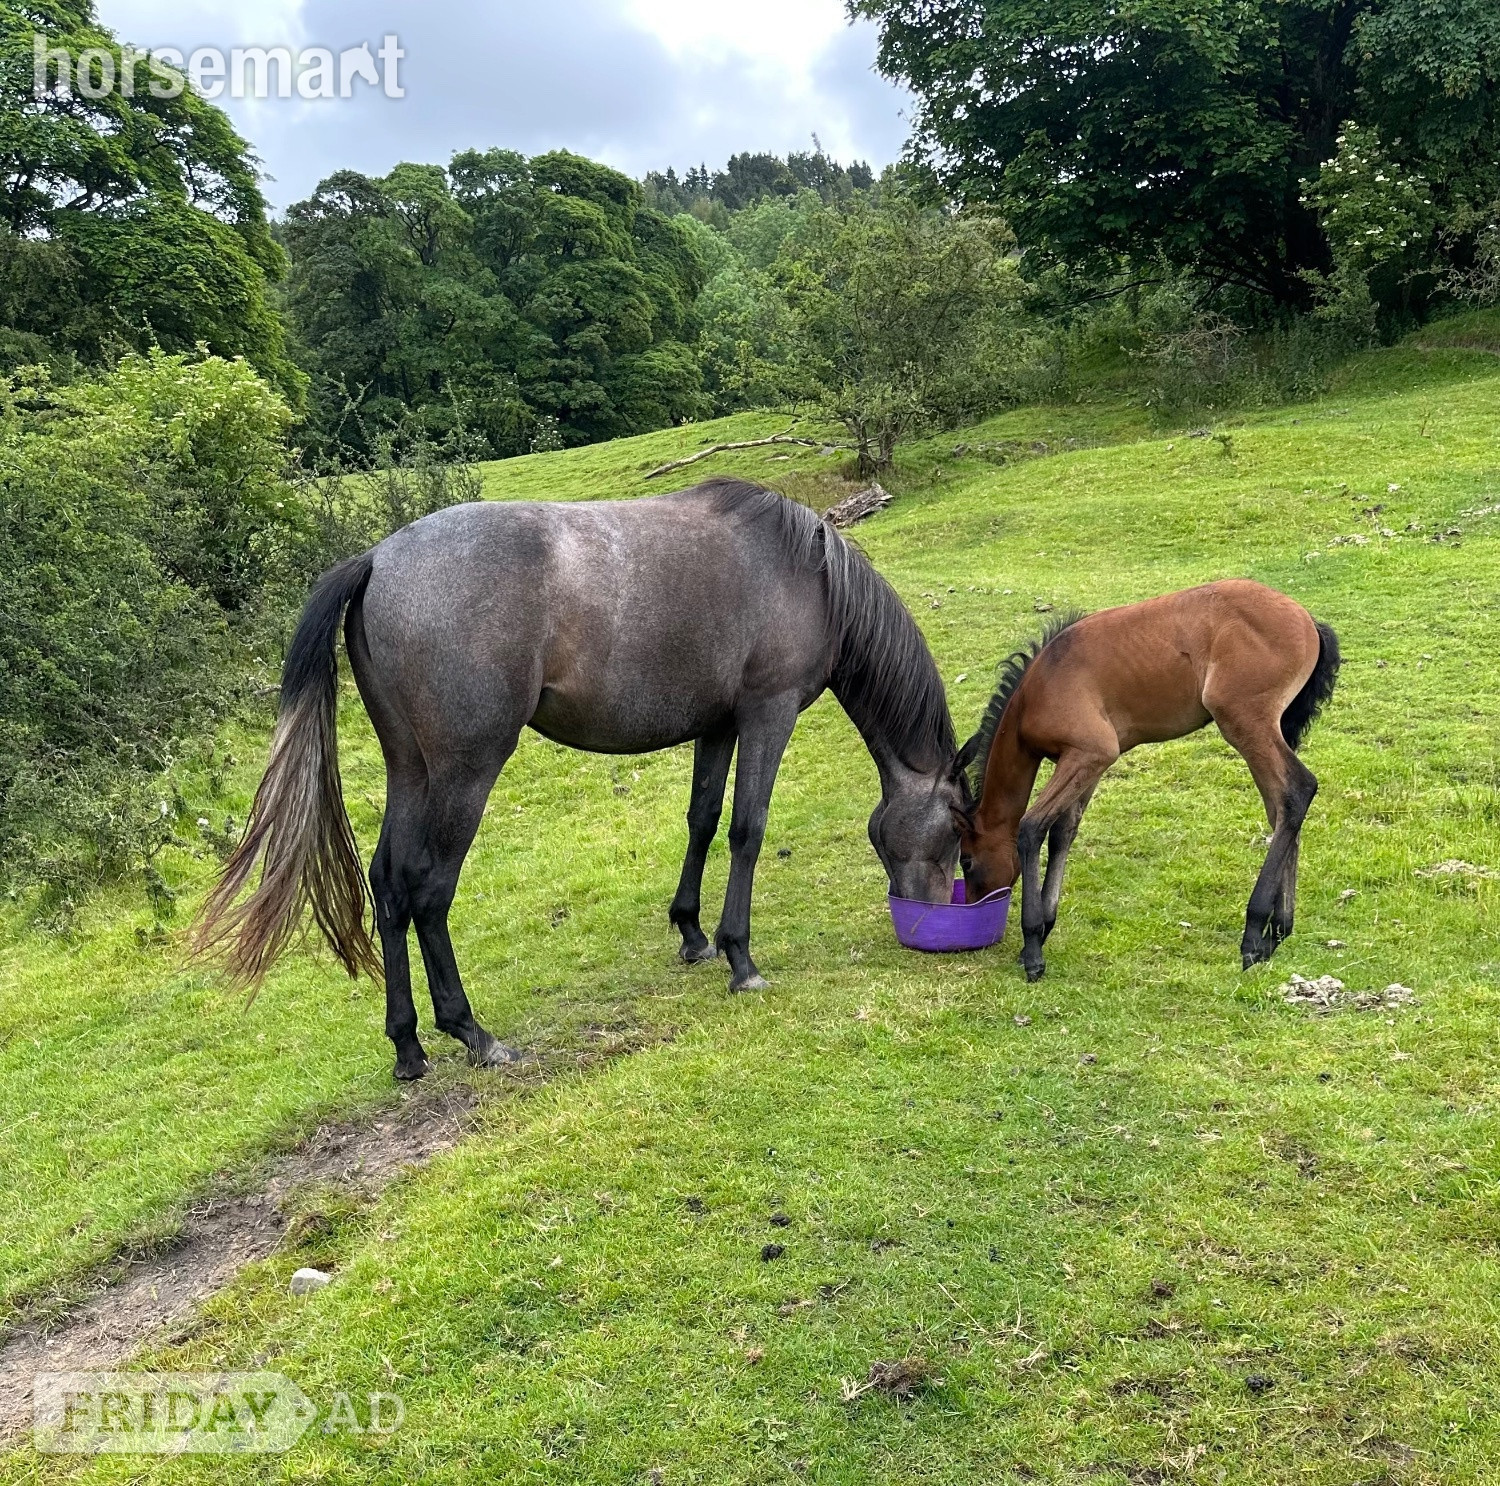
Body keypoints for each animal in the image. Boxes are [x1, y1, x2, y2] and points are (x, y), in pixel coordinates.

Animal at [195, 478, 967, 1080]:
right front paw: (740, 958)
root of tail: (378, 559)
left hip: (411, 770)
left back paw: (409, 1047)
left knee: (387, 885)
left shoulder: (717, 725)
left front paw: (691, 933)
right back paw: (472, 1033)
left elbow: (703, 820)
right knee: (428, 891)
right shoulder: (765, 715)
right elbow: (747, 830)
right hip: (465, 772)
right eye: (958, 826)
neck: (805, 573)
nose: (930, 911)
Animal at [951, 580, 1341, 982]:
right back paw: (1275, 935)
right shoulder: (1087, 764)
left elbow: (1031, 828)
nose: (976, 903)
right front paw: (1044, 929)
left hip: (1246, 724)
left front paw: (1032, 948)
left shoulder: (1090, 753)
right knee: (1279, 809)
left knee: (1295, 791)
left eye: (967, 860)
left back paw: (1253, 932)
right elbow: (1063, 833)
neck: (1038, 689)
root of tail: (1308, 621)